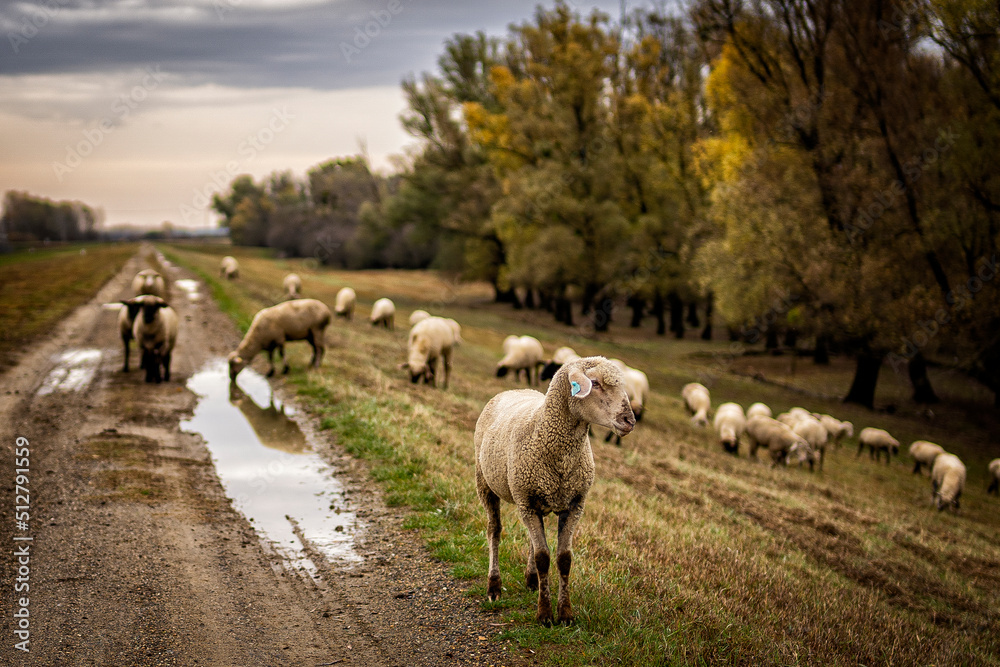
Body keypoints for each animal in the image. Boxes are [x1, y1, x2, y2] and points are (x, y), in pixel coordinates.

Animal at [475, 356, 636, 625]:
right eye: (594, 383)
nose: (629, 421)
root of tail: (516, 389)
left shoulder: (575, 504)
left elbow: (563, 558)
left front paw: (566, 613)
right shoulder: (526, 501)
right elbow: (543, 557)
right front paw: (545, 614)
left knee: (531, 540)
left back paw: (531, 581)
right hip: (485, 484)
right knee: (494, 531)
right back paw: (494, 586)